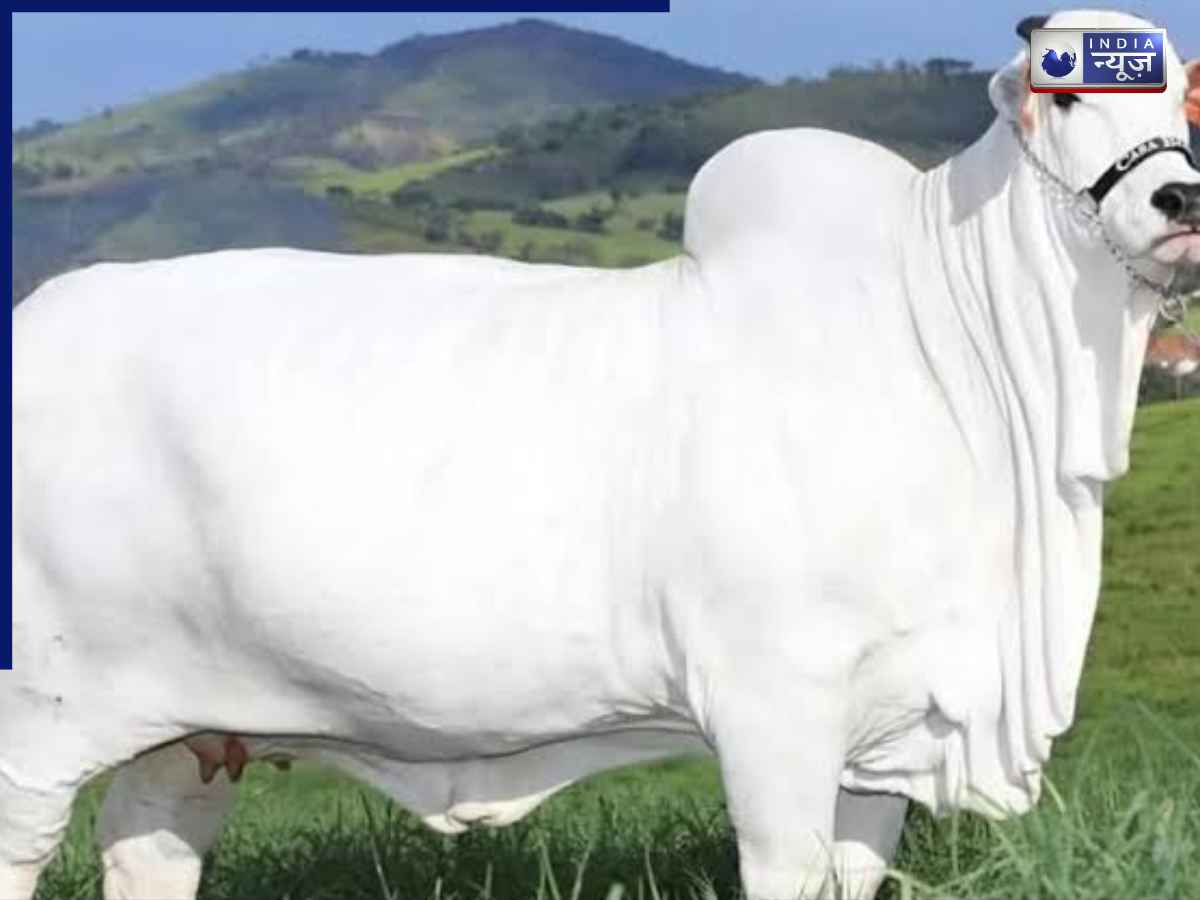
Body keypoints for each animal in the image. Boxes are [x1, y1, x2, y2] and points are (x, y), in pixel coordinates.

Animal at [5, 9, 1200, 900]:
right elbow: (785, 866)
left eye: (1181, 95)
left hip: (188, 732)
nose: (1178, 199)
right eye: (1066, 90)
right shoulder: (774, 706)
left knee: (148, 848)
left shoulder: (890, 730)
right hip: (37, 721)